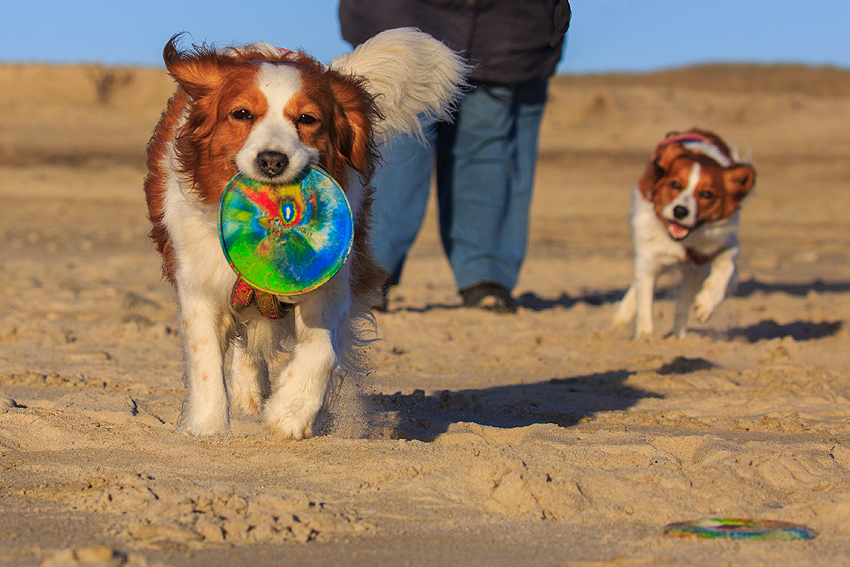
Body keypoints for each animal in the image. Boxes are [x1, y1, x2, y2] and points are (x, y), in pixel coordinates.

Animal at [143, 28, 468, 440]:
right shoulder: (199, 282)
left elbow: (321, 350)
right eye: (242, 114)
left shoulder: (330, 281)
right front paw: (207, 428)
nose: (272, 160)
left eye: (307, 119)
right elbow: (205, 362)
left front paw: (292, 411)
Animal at [608, 129, 756, 338]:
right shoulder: (649, 258)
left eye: (706, 194)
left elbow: (726, 265)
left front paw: (704, 307)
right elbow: (645, 303)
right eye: (675, 185)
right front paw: (645, 338)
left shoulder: (715, 246)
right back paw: (622, 317)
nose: (680, 211)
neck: (683, 241)